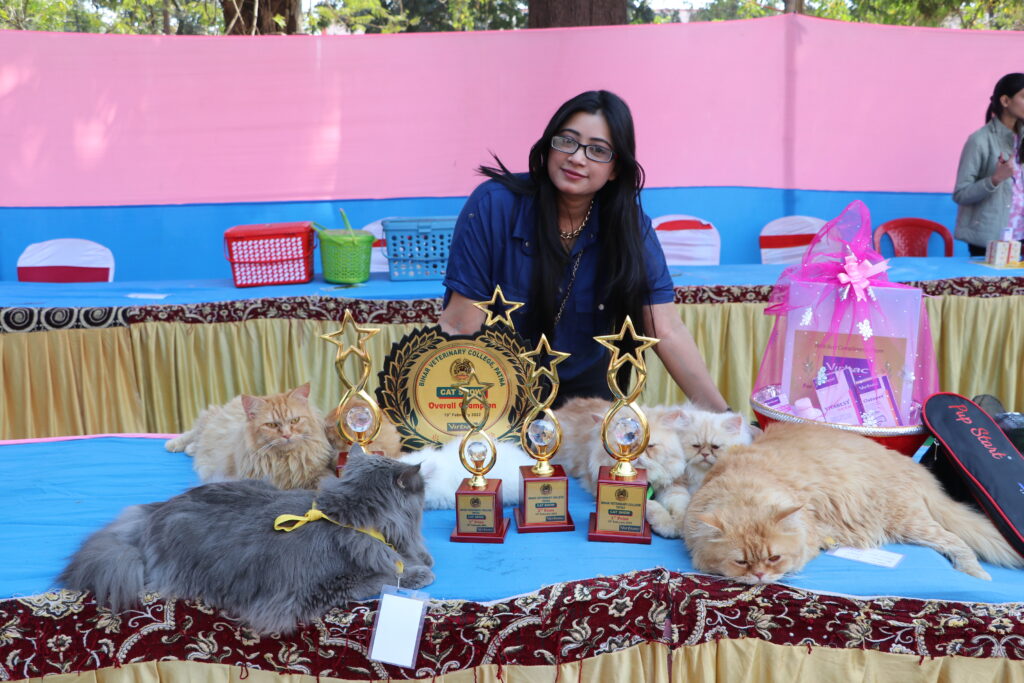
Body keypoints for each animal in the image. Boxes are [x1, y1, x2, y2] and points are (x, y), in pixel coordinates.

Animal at [58, 448, 434, 635]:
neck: (347, 515)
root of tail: (155, 512)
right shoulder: (321, 590)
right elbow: (384, 575)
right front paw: (420, 572)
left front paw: (422, 561)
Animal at [166, 383, 334, 490]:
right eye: (271, 425)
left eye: (295, 420)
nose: (287, 435)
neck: (284, 461)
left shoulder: (319, 473)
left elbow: (324, 483)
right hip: (210, 421)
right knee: (195, 430)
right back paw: (174, 445)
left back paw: (190, 449)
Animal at [683, 421, 1024, 584]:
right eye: (741, 562)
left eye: (774, 558)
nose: (759, 576)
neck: (747, 483)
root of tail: (915, 468)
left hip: (909, 522)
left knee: (956, 542)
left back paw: (975, 573)